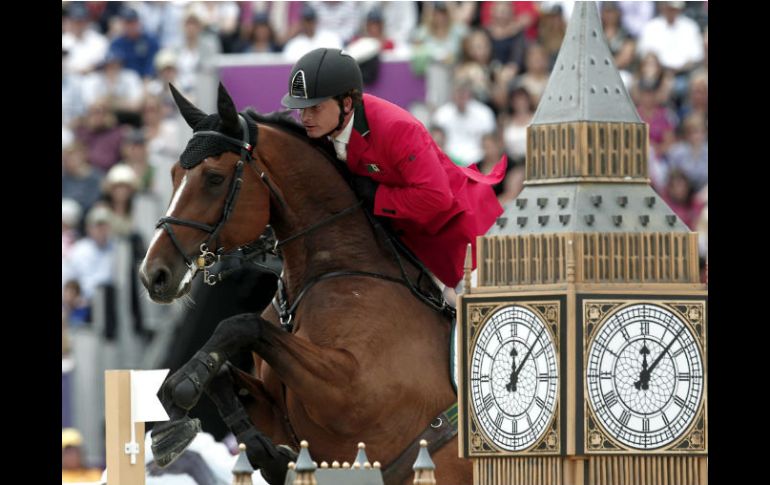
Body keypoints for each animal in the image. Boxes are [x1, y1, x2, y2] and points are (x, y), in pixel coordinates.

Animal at [140, 84, 472, 484]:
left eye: (214, 178)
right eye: (174, 174)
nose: (153, 275)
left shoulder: (350, 394)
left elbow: (240, 324)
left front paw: (182, 387)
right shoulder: (281, 408)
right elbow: (224, 373)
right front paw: (182, 425)